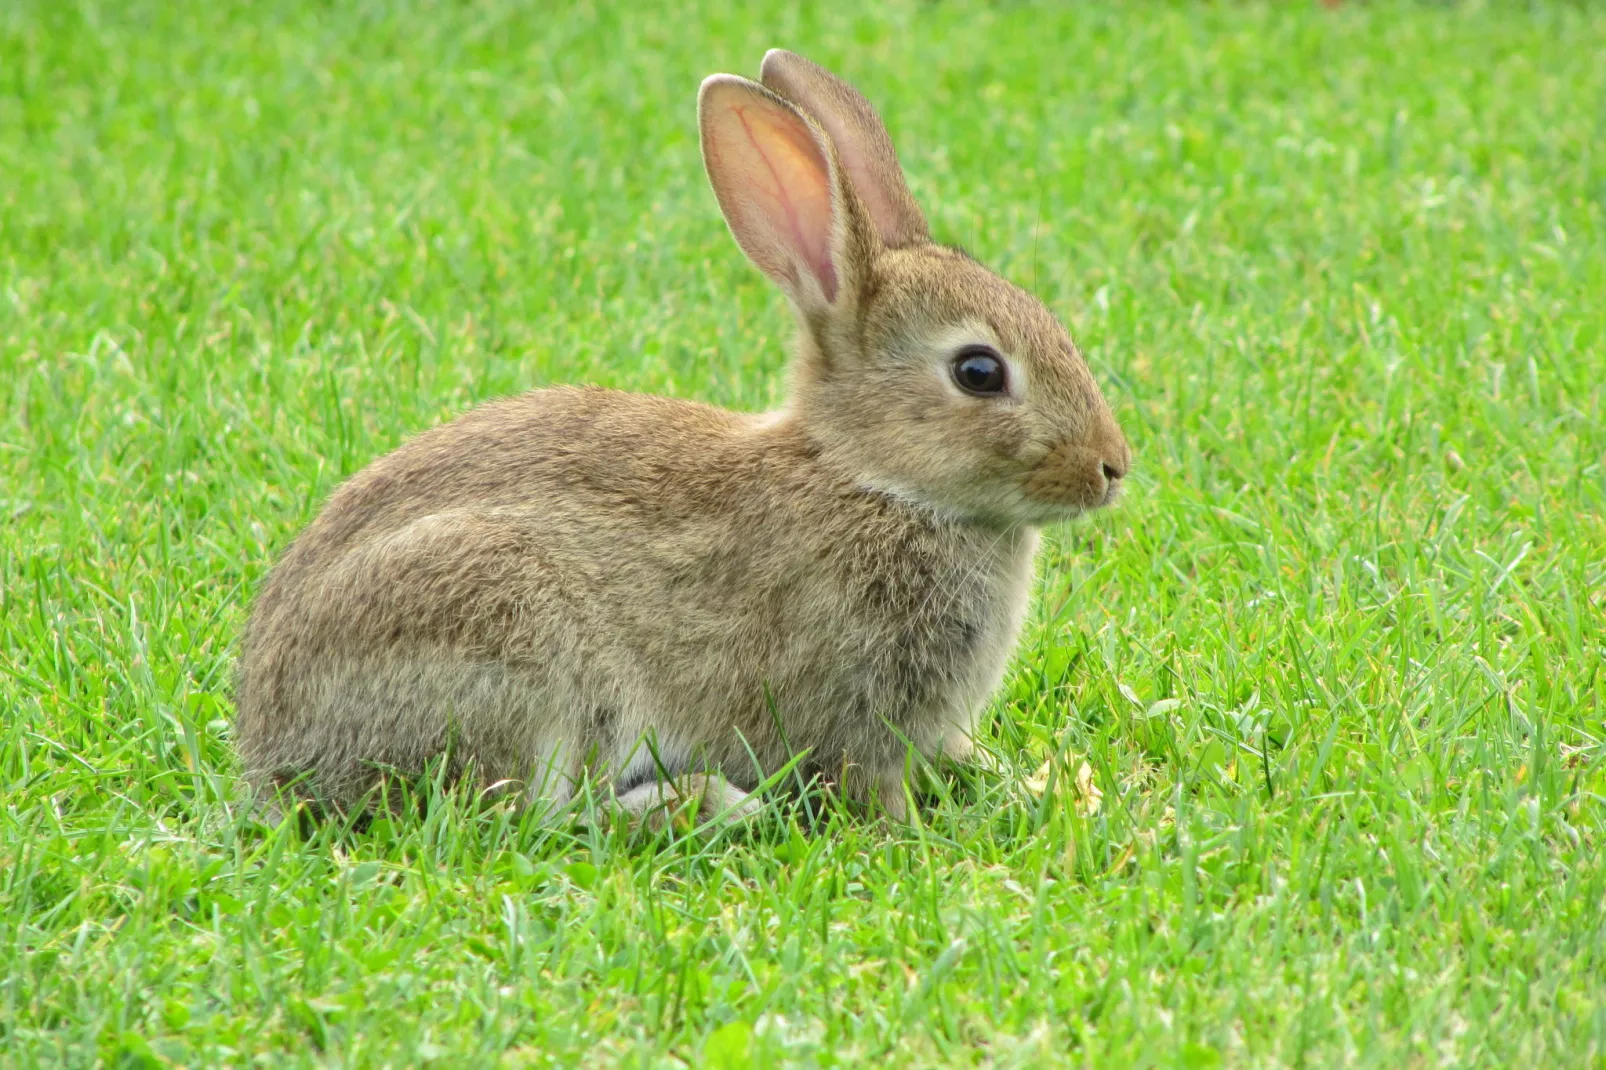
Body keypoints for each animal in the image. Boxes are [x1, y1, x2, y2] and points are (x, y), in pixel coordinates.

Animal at [234, 50, 1130, 822]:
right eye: (979, 371)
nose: (1112, 468)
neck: (871, 477)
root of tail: (273, 755)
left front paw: (1025, 782)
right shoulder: (853, 712)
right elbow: (869, 786)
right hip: (518, 642)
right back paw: (706, 805)